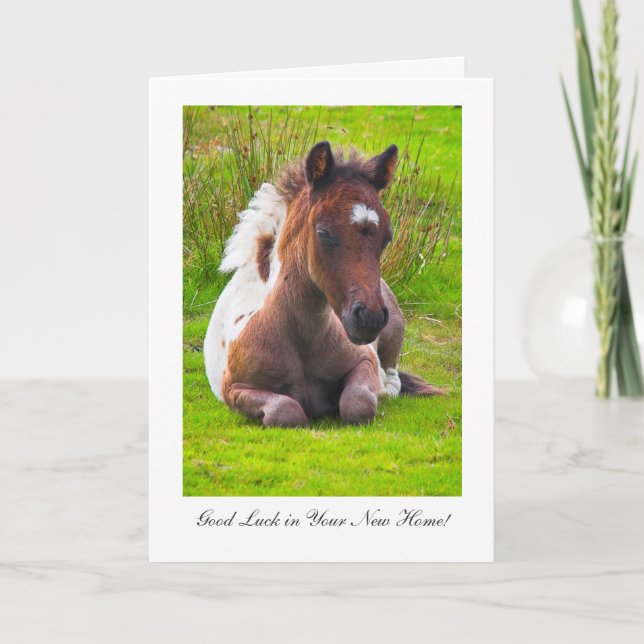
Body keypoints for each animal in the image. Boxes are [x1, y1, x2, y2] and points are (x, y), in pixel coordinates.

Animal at [204, 141, 442, 427]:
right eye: (324, 233)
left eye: (387, 237)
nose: (370, 318)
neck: (301, 340)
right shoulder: (235, 389)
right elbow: (286, 411)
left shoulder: (364, 360)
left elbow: (358, 403)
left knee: (392, 376)